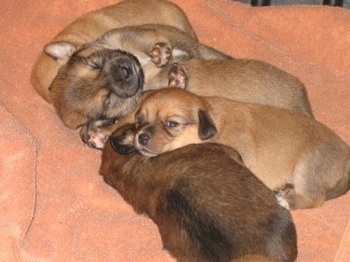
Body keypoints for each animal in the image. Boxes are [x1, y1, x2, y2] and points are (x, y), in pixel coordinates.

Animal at [47, 23, 232, 129]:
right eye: (107, 99)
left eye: (94, 65)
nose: (125, 71)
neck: (142, 64)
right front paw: (175, 78)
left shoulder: (128, 36)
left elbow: (150, 40)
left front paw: (161, 52)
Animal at [129, 87, 350, 210]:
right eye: (139, 120)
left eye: (171, 124)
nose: (141, 137)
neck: (214, 122)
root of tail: (345, 154)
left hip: (307, 167)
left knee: (315, 198)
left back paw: (286, 201)